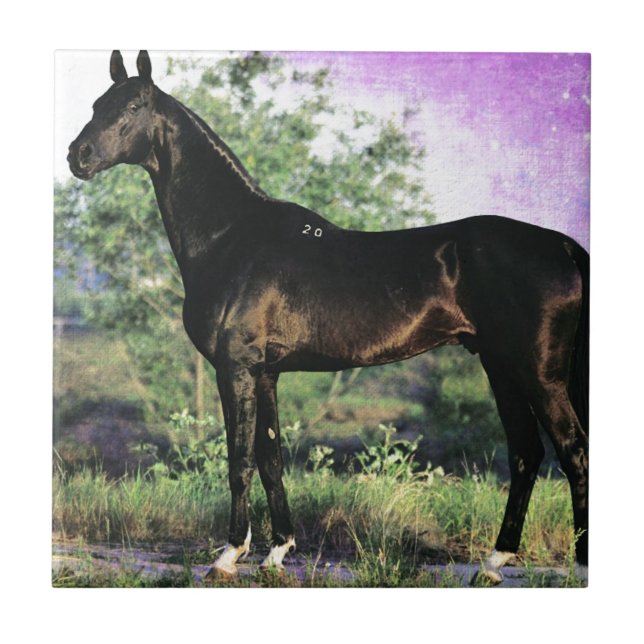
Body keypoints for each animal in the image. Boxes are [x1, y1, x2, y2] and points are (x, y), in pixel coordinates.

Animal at [68, 50, 589, 584]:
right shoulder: (266, 373)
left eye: (132, 106)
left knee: (572, 452)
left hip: (538, 374)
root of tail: (563, 246)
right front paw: (277, 552)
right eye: (97, 104)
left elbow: (240, 460)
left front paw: (229, 556)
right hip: (500, 366)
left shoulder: (236, 368)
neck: (231, 236)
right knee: (526, 454)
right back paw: (493, 562)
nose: (77, 156)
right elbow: (271, 458)